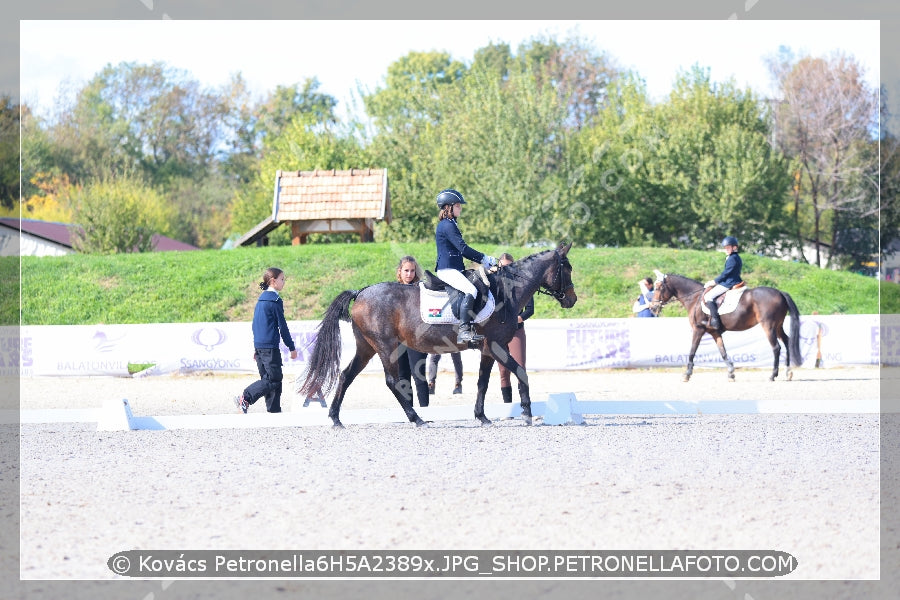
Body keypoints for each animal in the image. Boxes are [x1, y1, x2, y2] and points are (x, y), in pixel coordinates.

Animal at [298, 241, 576, 428]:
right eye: (568, 269)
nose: (572, 300)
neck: (504, 293)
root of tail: (361, 292)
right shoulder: (497, 346)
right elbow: (521, 372)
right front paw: (527, 412)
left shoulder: (487, 349)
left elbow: (483, 383)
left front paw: (482, 417)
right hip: (386, 346)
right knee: (391, 381)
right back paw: (417, 419)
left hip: (366, 347)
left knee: (346, 375)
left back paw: (336, 419)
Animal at [648, 270, 800, 382]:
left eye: (658, 287)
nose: (653, 308)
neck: (695, 298)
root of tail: (780, 292)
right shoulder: (715, 333)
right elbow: (723, 352)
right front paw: (731, 373)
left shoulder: (698, 329)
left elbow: (692, 351)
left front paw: (687, 374)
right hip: (778, 326)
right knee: (787, 341)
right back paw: (788, 372)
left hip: (768, 326)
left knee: (776, 347)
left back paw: (773, 375)